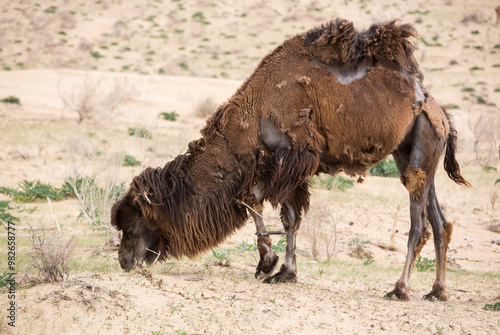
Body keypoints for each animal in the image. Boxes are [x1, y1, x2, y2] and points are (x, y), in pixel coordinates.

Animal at [110, 18, 468, 302]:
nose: (124, 261)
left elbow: (271, 209)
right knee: (440, 222)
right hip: (410, 153)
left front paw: (271, 264)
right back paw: (437, 291)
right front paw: (281, 270)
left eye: (131, 225)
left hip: (419, 151)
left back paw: (399, 289)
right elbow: (274, 210)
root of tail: (439, 112)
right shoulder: (277, 164)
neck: (253, 115)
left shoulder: (291, 159)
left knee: (419, 225)